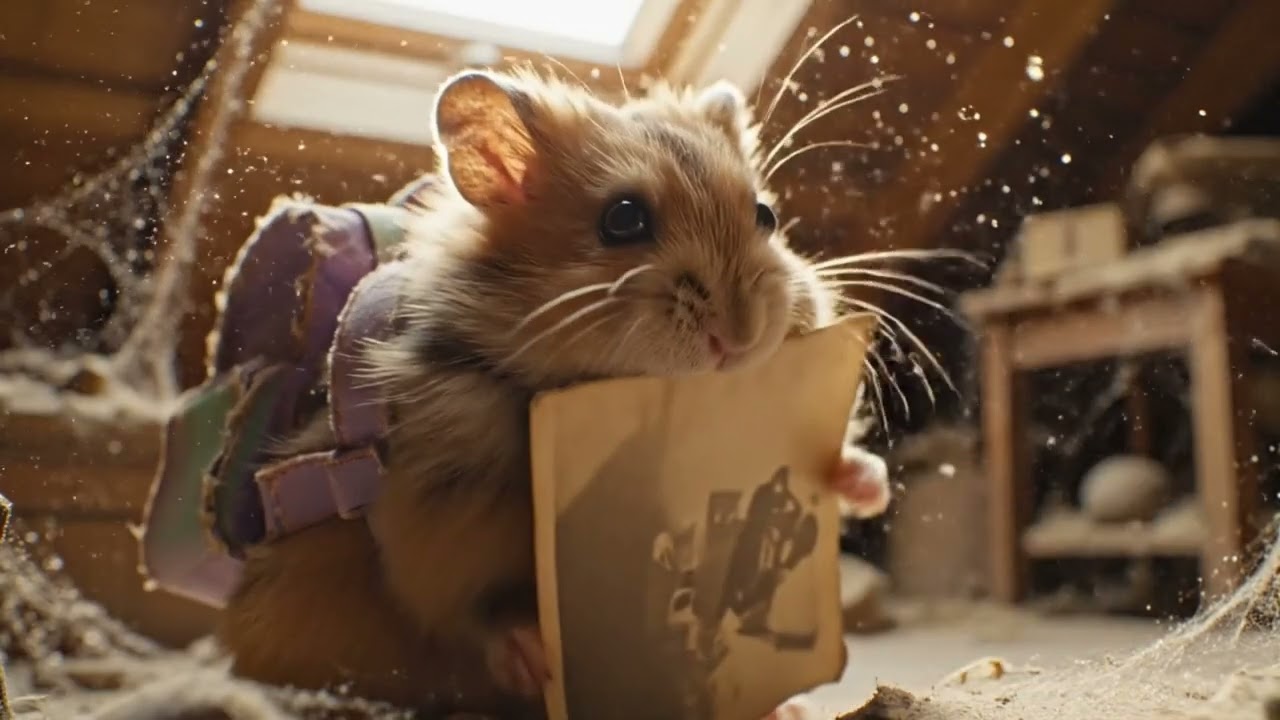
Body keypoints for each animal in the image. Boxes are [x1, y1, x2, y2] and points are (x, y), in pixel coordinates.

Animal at [218, 68, 891, 718]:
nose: (742, 336)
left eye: (766, 217)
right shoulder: (424, 518)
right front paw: (536, 656)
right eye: (623, 219)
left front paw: (867, 483)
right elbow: (465, 603)